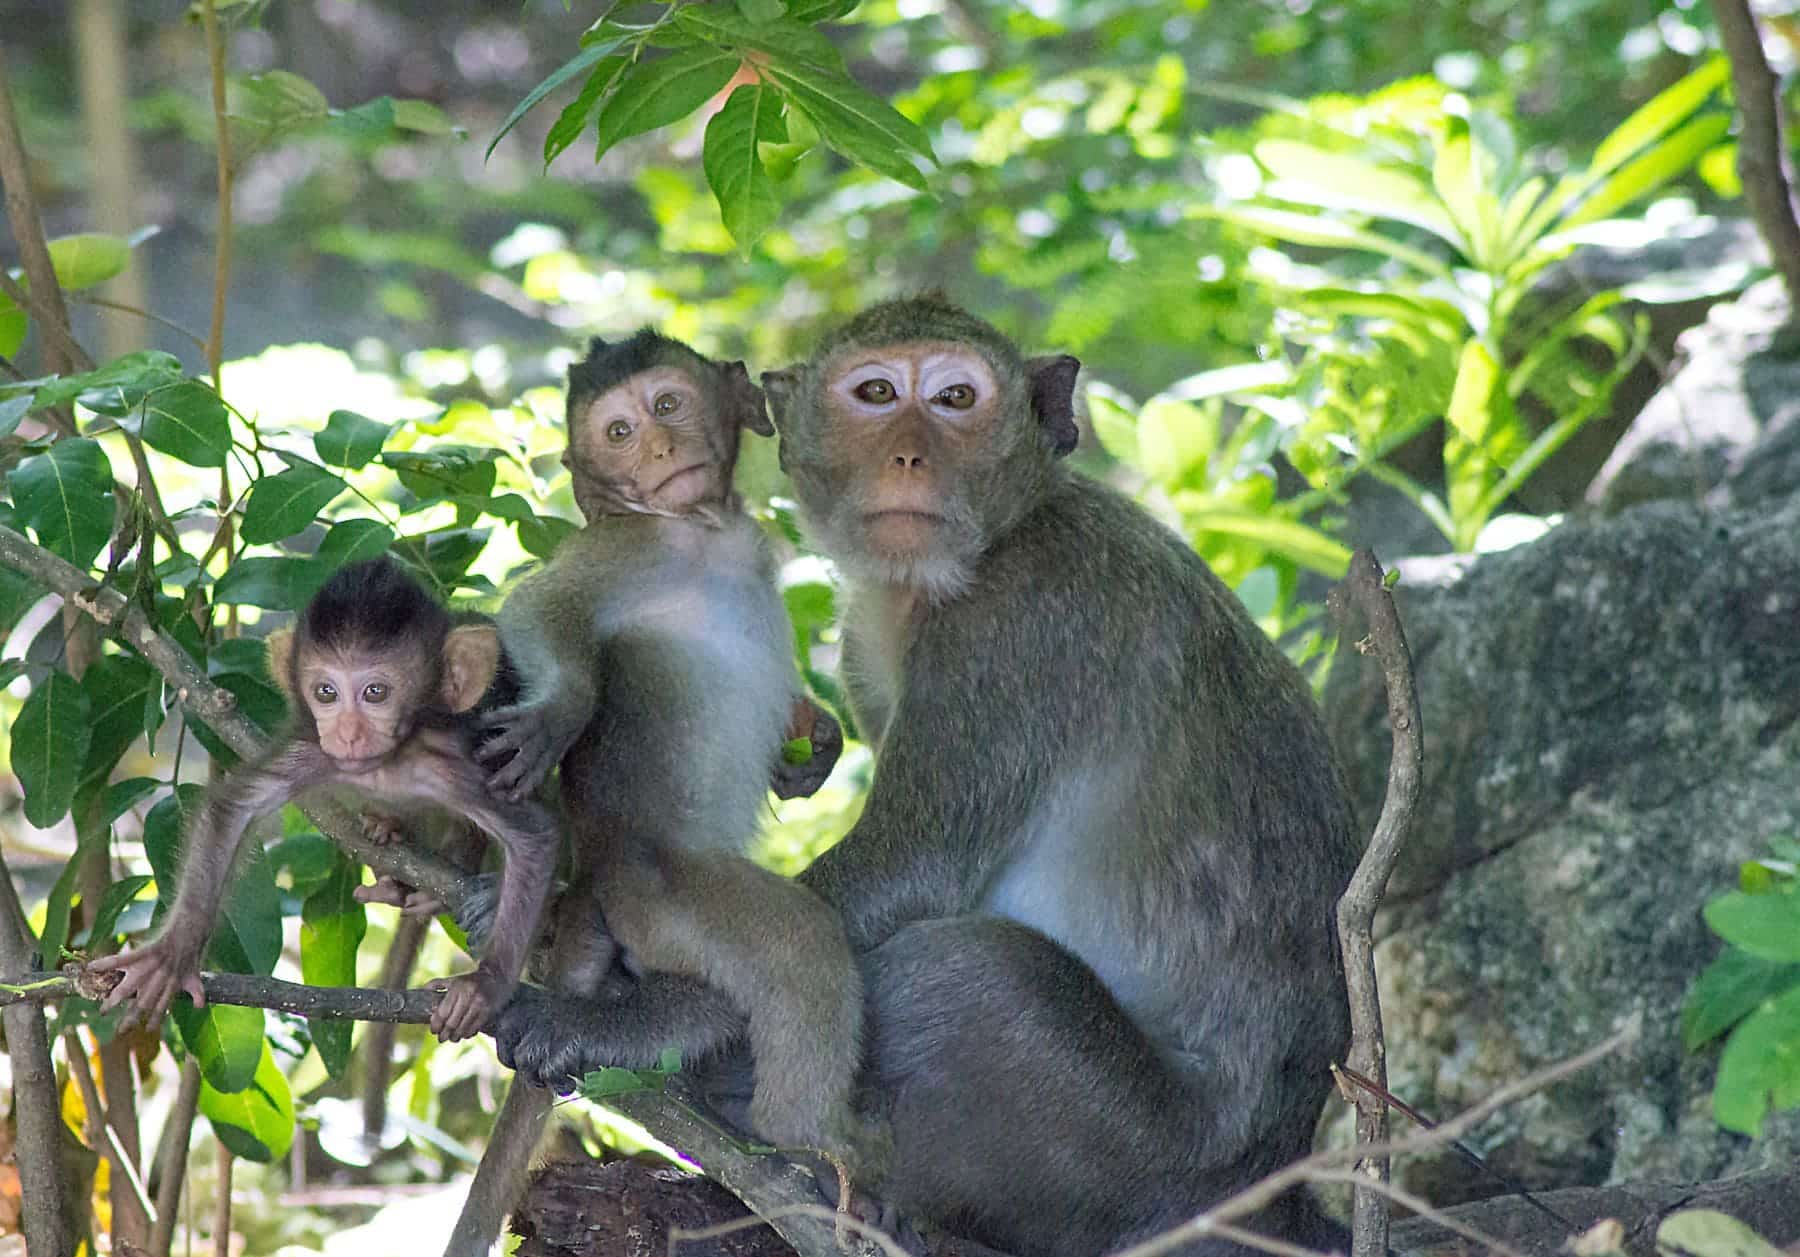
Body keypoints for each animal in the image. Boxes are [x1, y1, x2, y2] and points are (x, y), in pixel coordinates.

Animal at [89, 558, 554, 1037]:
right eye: (326, 692)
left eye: (375, 692)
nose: (347, 733)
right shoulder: (312, 748)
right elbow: (233, 808)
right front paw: (172, 955)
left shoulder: (450, 766)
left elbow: (533, 839)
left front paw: (485, 986)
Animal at [486, 295, 1353, 1253]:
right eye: (875, 394)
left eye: (954, 398)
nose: (908, 455)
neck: (992, 543)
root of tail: (1269, 1180)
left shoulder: (1019, 623)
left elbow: (903, 876)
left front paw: (630, 1022)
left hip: (1128, 1156)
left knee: (972, 970)